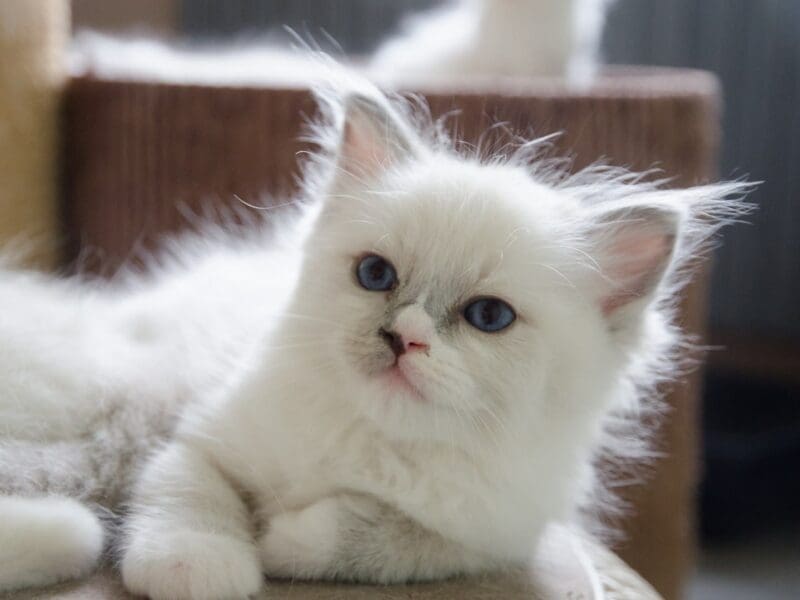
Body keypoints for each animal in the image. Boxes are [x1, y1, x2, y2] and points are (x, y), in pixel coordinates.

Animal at [3, 84, 748, 596]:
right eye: (376, 275)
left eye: (488, 317)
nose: (402, 338)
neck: (376, 442)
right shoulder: (198, 439)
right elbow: (192, 497)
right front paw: (197, 566)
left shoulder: (493, 536)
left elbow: (382, 538)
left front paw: (285, 538)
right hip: (108, 421)